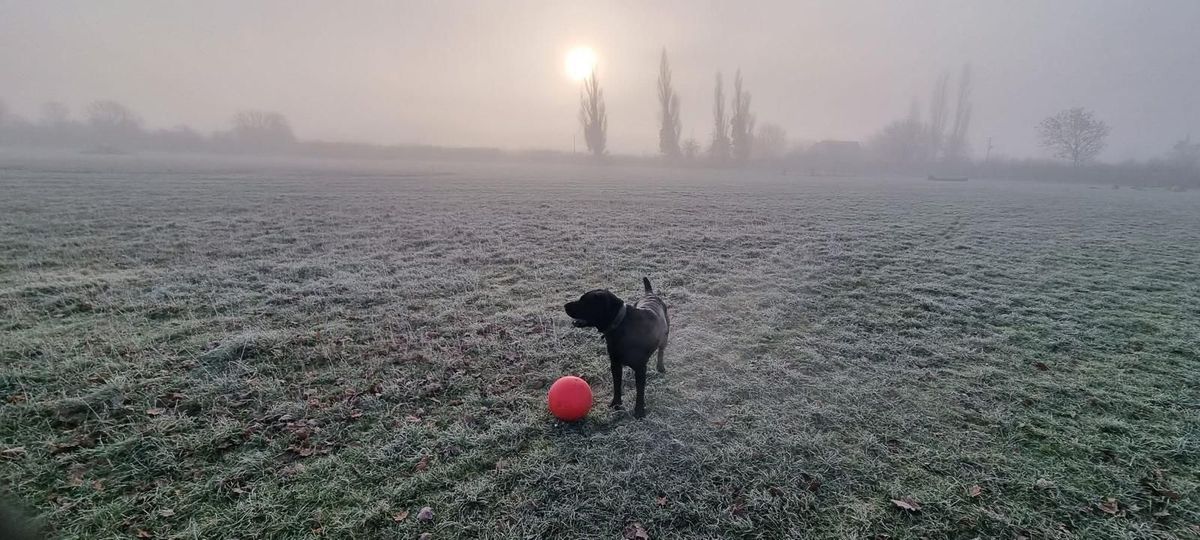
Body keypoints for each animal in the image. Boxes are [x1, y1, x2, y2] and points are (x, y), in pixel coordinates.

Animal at [566, 276, 672, 420]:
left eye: (584, 301)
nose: (565, 305)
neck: (621, 324)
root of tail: (650, 294)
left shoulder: (640, 368)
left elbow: (640, 391)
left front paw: (639, 411)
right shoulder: (615, 364)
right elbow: (617, 386)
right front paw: (616, 404)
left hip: (665, 336)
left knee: (661, 351)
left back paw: (660, 367)